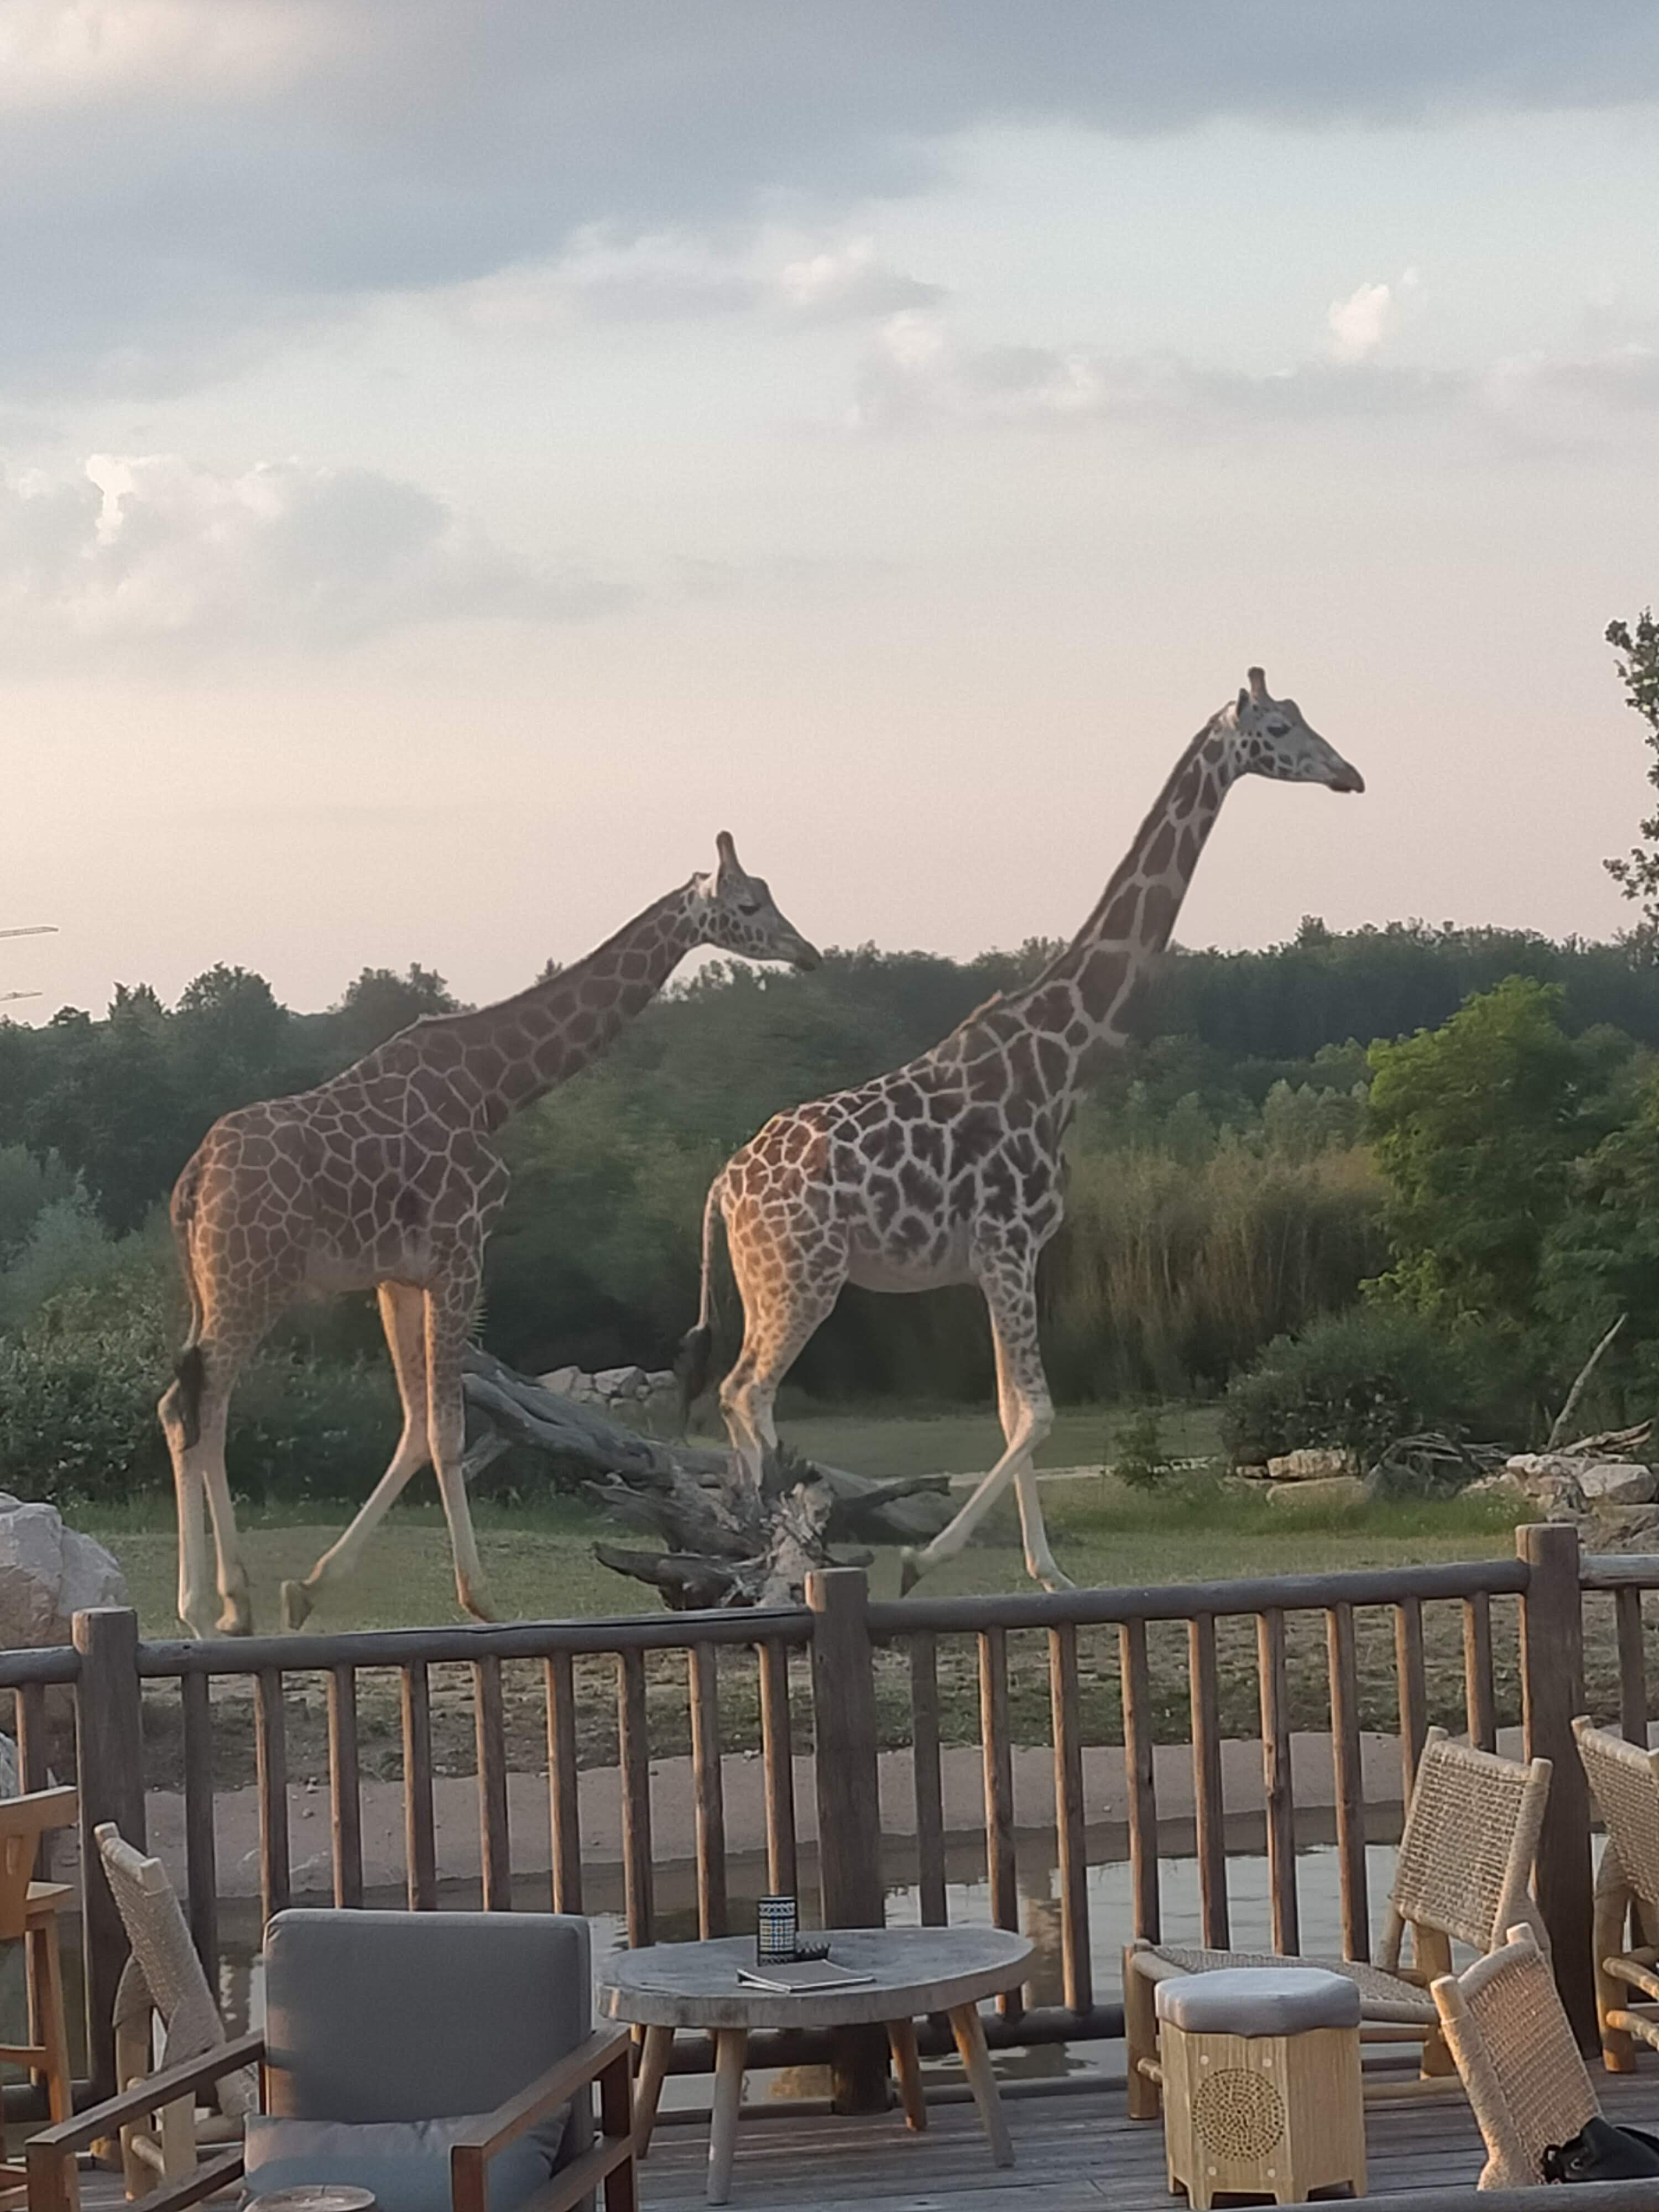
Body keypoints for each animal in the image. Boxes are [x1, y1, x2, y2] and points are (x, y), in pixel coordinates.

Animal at [159, 835, 819, 1639]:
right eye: (749, 904)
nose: (809, 952)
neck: (494, 1086)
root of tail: (193, 1184)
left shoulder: (400, 1275)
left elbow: (417, 1423)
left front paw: (309, 1589)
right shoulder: (461, 1248)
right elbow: (444, 1429)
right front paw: (480, 1598)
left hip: (220, 1284)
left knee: (196, 1403)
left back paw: (229, 1602)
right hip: (252, 1278)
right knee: (193, 1406)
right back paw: (206, 1609)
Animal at [679, 671, 1364, 1593]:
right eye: (1283, 728)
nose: (1349, 774)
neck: (1062, 1062)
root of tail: (725, 1183)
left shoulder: (1008, 1256)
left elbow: (1012, 1410)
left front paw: (1050, 1573)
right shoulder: (1007, 1242)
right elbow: (1038, 1411)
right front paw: (922, 1559)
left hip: (767, 1280)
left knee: (740, 1394)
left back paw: (766, 1549)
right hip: (802, 1277)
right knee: (745, 1390)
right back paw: (779, 1550)